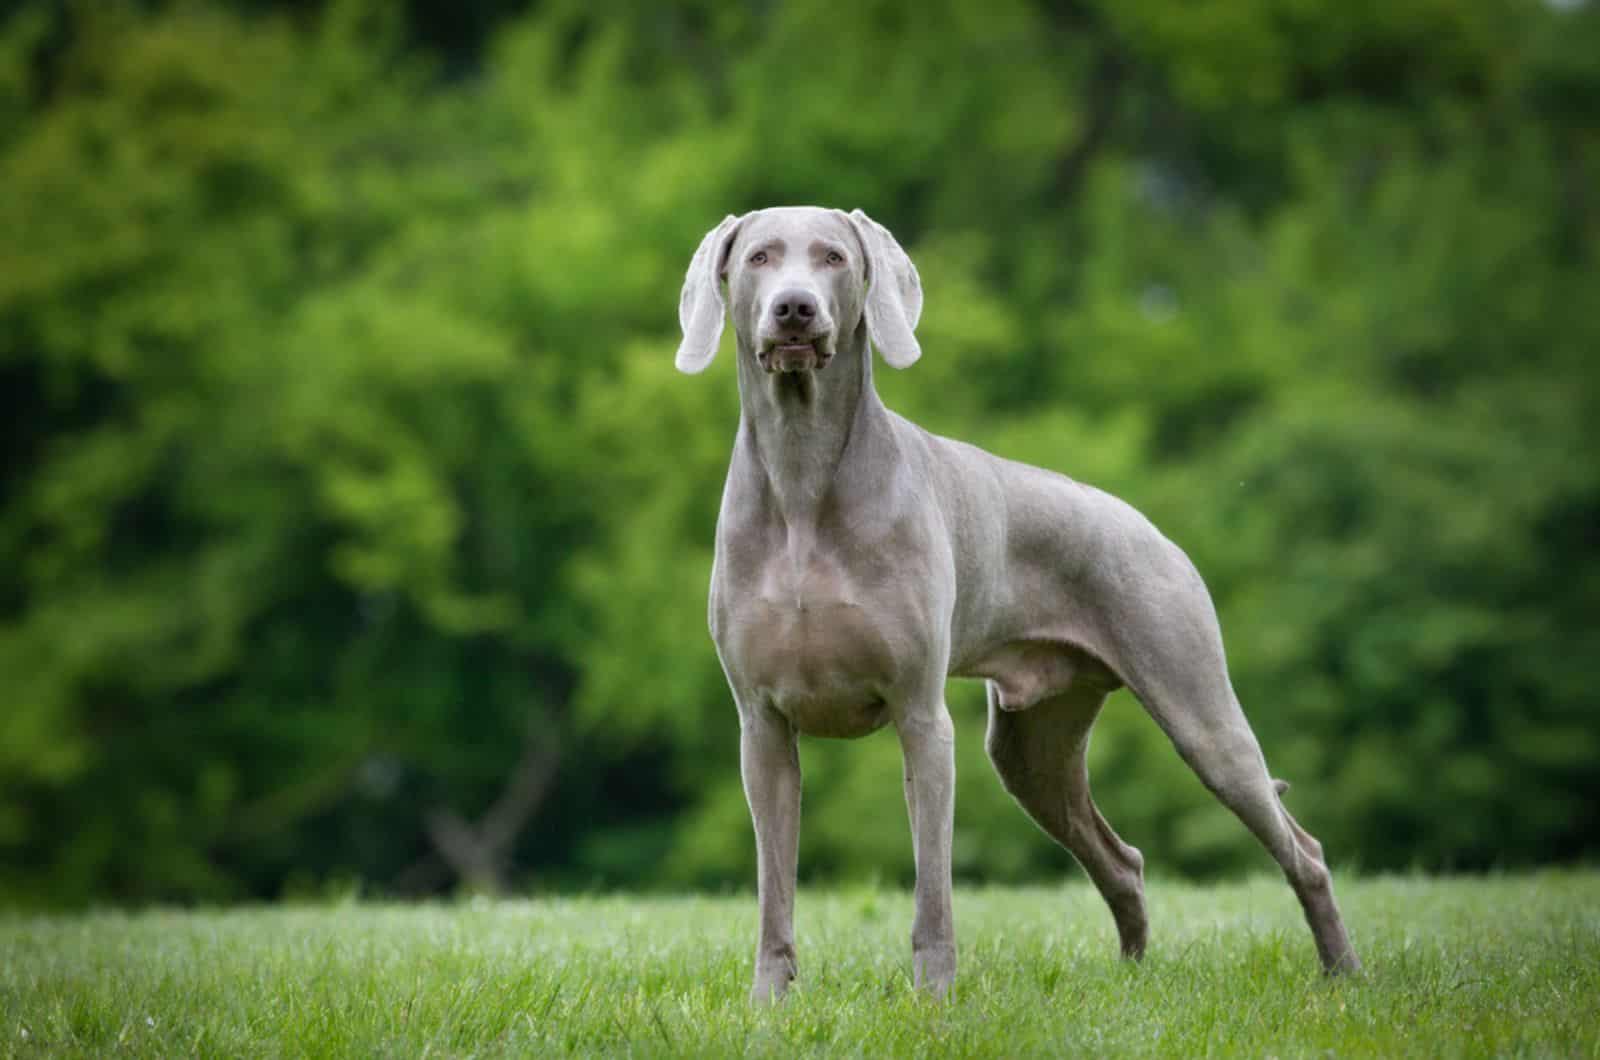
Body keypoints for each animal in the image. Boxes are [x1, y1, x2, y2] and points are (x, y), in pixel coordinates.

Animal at [675, 201, 1363, 1005]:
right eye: (758, 258)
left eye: (833, 258)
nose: (794, 309)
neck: (802, 475)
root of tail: (1150, 528)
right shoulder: (762, 727)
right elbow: (773, 887)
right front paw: (769, 1003)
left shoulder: (921, 717)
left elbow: (933, 887)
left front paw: (933, 998)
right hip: (1032, 748)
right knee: (1120, 859)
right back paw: (1132, 979)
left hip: (1199, 711)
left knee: (1301, 847)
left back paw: (1343, 971)